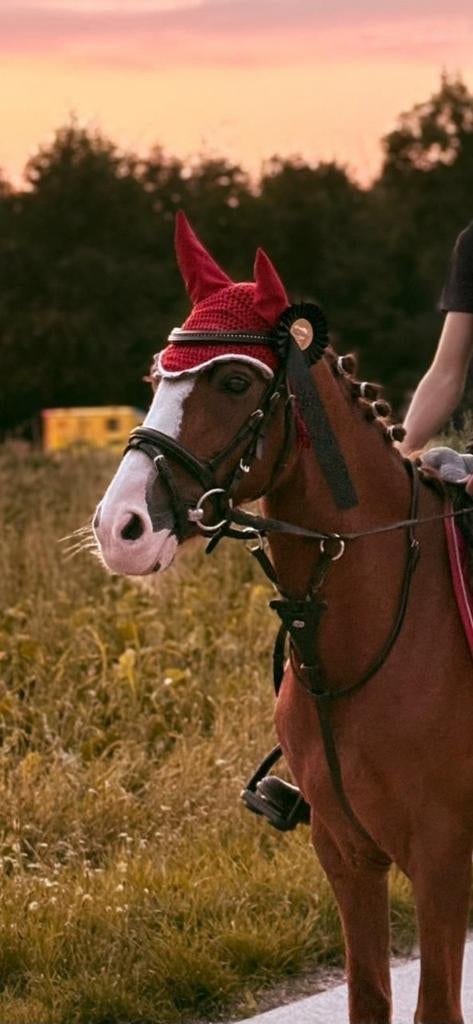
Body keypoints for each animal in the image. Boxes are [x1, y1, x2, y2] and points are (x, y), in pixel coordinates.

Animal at [93, 213, 473, 1024]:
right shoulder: (346, 852)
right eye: (156, 380)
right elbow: (368, 996)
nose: (120, 527)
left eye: (235, 380)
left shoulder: (441, 858)